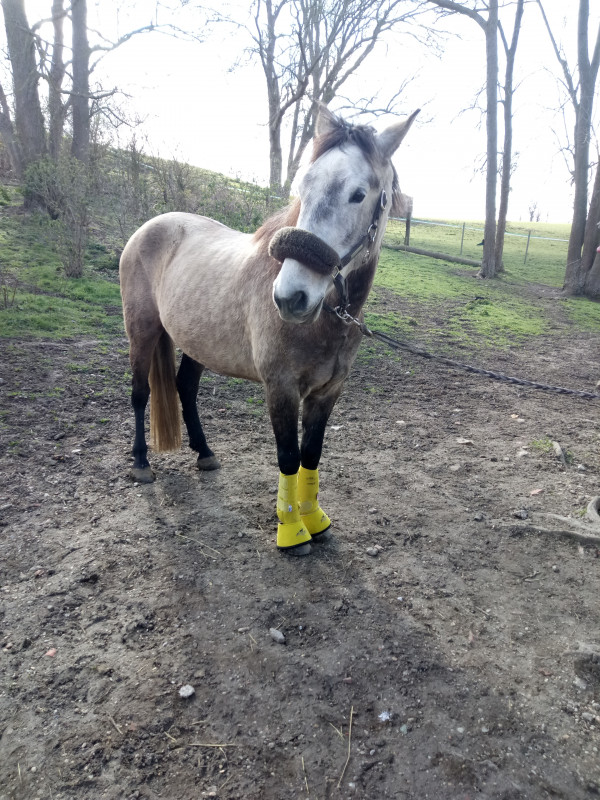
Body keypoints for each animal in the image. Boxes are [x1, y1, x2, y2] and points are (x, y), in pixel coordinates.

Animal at [119, 105, 418, 555]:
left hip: (197, 343)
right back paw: (140, 464)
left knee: (185, 387)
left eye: (358, 194)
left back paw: (205, 454)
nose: (291, 297)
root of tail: (149, 226)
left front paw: (315, 520)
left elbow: (311, 454)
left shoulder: (328, 392)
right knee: (141, 393)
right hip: (142, 331)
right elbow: (288, 456)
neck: (327, 321)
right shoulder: (280, 388)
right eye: (305, 187)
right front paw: (292, 533)